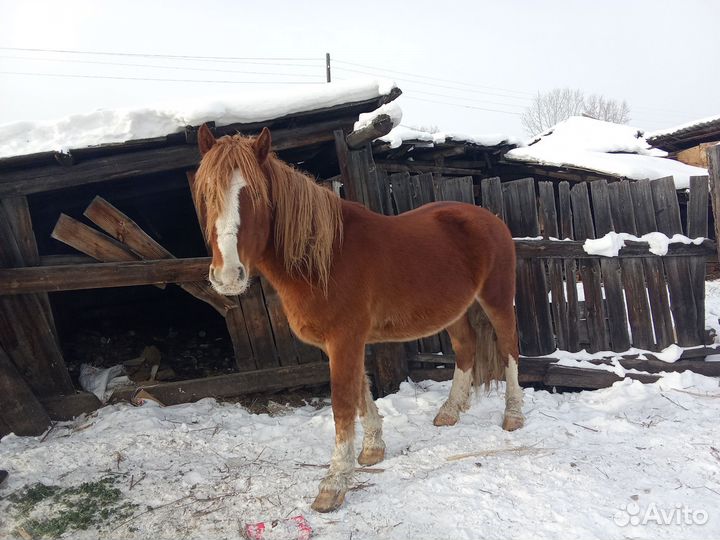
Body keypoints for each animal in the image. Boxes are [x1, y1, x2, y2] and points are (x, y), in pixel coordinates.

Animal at [192, 124, 525, 513]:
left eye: (255, 196)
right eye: (206, 194)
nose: (228, 276)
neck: (325, 256)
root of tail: (490, 218)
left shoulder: (344, 339)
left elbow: (342, 404)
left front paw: (333, 484)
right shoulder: (342, 342)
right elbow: (361, 391)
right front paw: (372, 450)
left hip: (497, 301)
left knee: (510, 348)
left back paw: (513, 416)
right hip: (455, 310)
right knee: (467, 349)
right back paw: (450, 411)